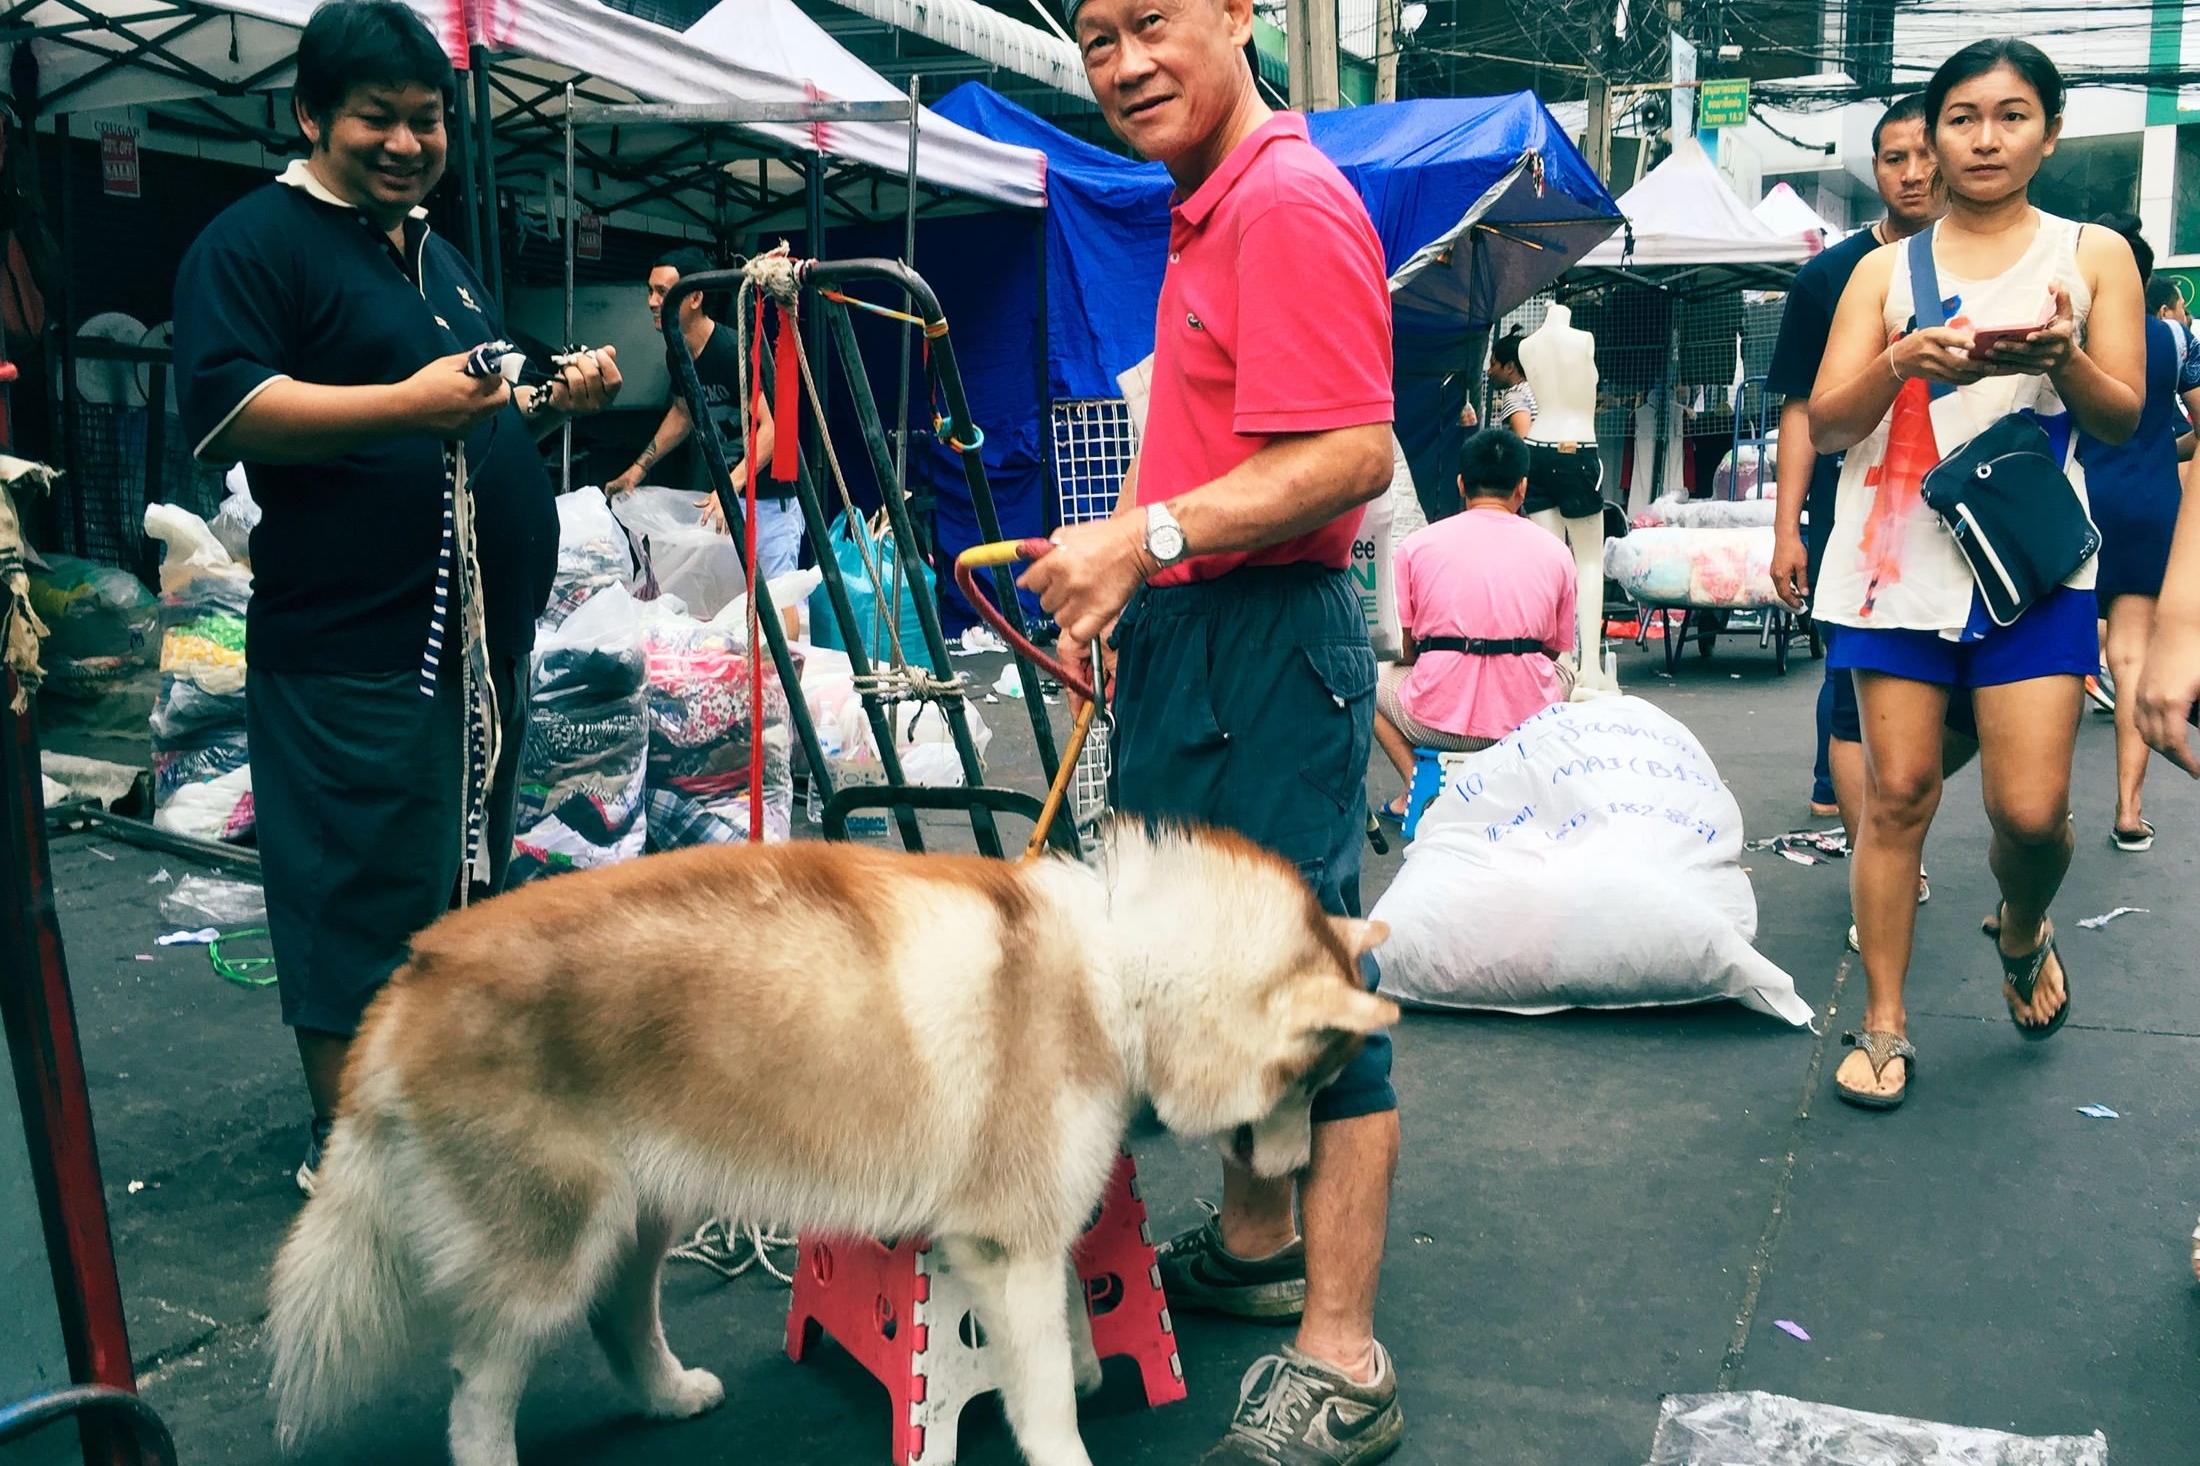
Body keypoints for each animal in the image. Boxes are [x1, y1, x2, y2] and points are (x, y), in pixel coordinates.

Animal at [261, 814, 1390, 1461]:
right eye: (1311, 1078)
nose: (1298, 1169)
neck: (1117, 965)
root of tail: (413, 971)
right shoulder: (1008, 1238)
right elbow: (1044, 1402)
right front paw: (1060, 1420)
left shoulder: (1018, 1234)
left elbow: (1067, 1322)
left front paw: (1077, 1362)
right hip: (549, 1248)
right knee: (479, 1388)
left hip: (643, 1210)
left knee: (619, 1317)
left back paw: (669, 1396)